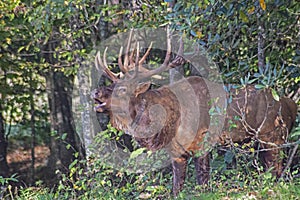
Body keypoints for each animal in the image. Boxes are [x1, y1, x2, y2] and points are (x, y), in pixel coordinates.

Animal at [91, 29, 298, 195]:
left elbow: (203, 181)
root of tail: (292, 105)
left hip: (273, 136)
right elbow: (177, 188)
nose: (95, 92)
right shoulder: (175, 153)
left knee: (277, 170)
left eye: (122, 89)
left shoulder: (203, 141)